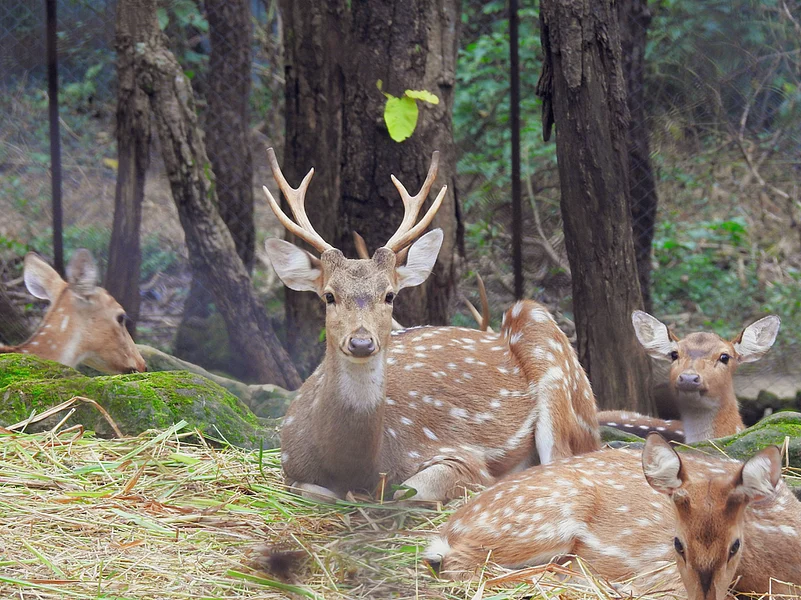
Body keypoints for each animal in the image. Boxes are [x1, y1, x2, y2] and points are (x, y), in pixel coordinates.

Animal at [261, 148, 600, 503]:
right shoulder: (290, 468)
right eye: (329, 295)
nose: (361, 342)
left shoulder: (461, 457)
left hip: (557, 368)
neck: (355, 467)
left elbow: (410, 491)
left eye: (390, 295)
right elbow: (312, 491)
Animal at [426, 432, 801, 600]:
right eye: (676, 543)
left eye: (736, 545)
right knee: (463, 565)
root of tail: (449, 527)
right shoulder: (662, 570)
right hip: (545, 516)